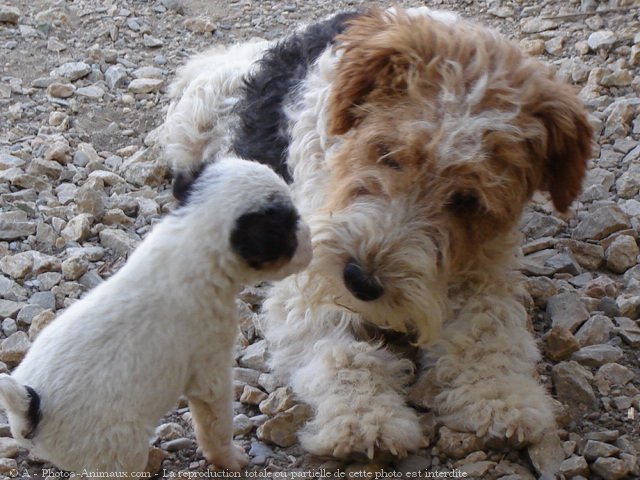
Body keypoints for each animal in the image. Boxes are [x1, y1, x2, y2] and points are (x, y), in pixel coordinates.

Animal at [0, 158, 312, 476]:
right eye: (287, 227)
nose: (311, 238)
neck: (193, 234)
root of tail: (30, 406)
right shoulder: (211, 370)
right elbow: (215, 426)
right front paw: (230, 459)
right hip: (119, 452)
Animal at [162, 4, 592, 462]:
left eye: (468, 200)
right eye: (387, 154)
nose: (361, 282)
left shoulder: (484, 270)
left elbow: (486, 332)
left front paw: (503, 400)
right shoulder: (308, 283)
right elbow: (343, 353)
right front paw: (365, 421)